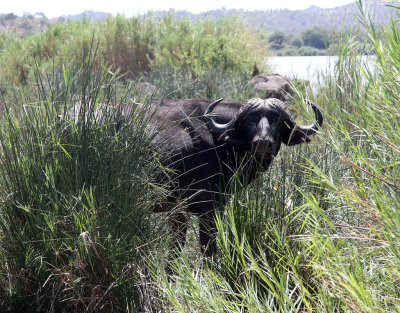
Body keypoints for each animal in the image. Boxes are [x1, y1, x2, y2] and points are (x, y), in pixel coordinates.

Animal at [147, 97, 322, 256]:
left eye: (278, 121)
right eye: (250, 120)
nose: (263, 143)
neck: (215, 139)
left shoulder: (179, 212)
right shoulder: (209, 206)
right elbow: (207, 247)